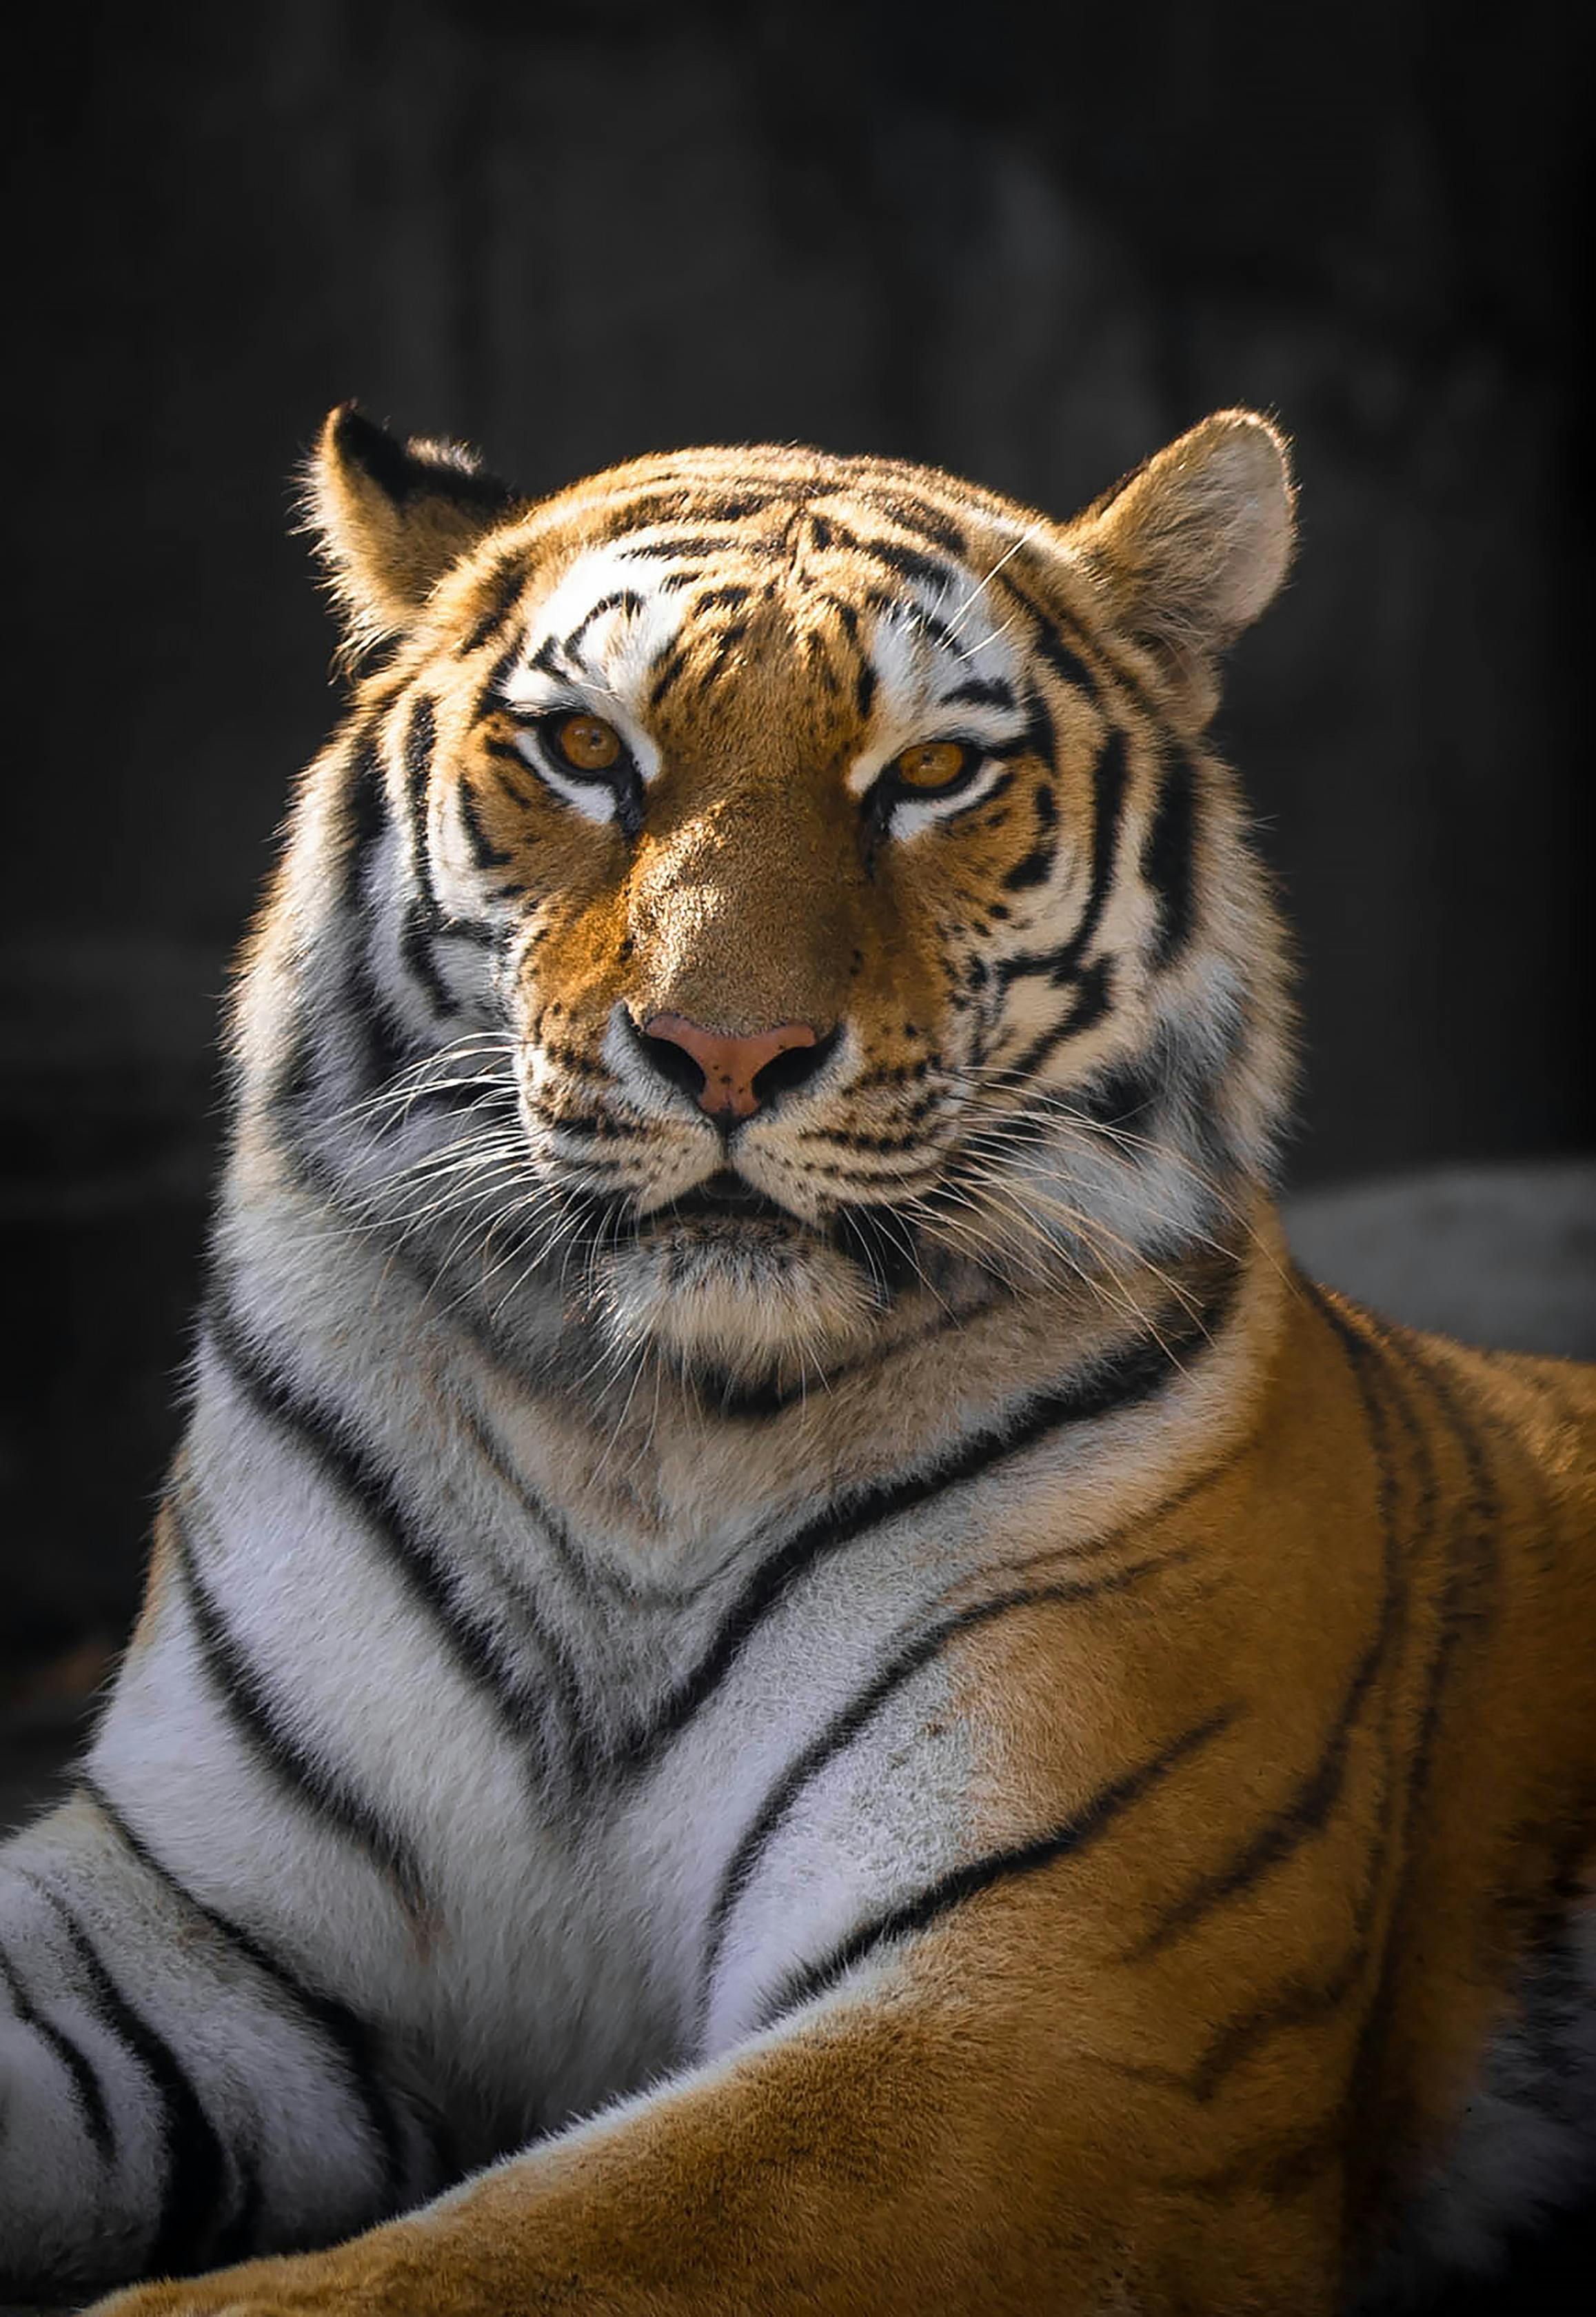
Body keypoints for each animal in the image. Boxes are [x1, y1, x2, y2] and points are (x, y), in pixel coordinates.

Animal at [1, 400, 1593, 2317]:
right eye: (584, 751)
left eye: (929, 776)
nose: (723, 1050)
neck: (644, 1432)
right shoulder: (190, 1911)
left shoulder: (1048, 2010)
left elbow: (508, 2253)